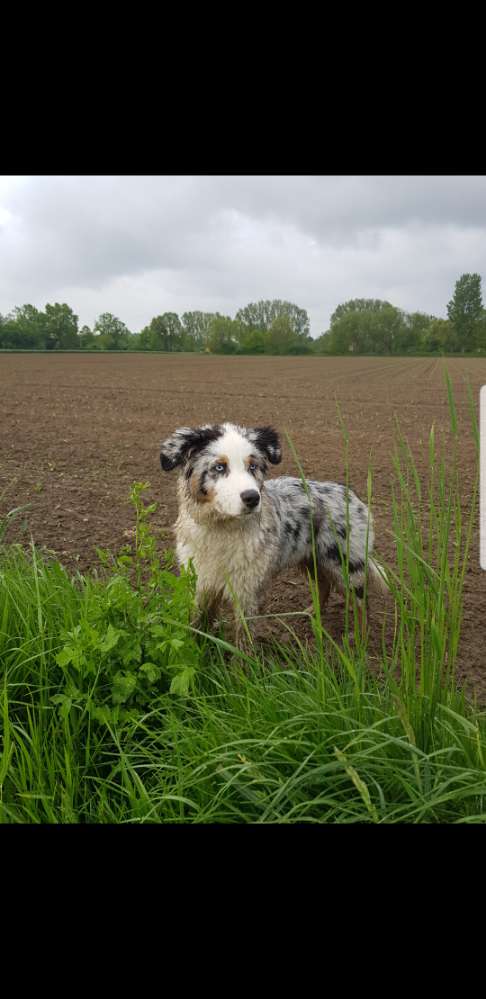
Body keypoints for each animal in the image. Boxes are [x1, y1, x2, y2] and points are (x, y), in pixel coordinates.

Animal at [160, 424, 388, 648]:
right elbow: (200, 626)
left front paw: (242, 660)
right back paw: (311, 613)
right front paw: (200, 649)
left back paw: (359, 640)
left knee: (362, 603)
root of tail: (351, 495)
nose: (252, 498)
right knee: (324, 585)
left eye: (253, 466)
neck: (220, 531)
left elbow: (244, 641)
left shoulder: (248, 591)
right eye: (219, 467)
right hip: (311, 559)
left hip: (347, 563)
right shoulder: (203, 584)